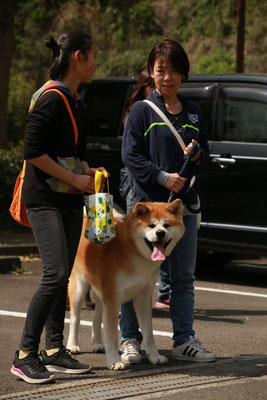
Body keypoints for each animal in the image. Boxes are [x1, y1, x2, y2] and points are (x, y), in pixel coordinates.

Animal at [66, 199, 185, 368]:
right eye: (151, 225)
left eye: (166, 225)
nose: (160, 233)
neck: (132, 251)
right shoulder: (112, 298)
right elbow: (111, 334)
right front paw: (114, 361)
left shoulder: (143, 298)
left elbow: (149, 333)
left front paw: (154, 356)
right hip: (79, 287)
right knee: (75, 319)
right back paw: (72, 345)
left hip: (100, 294)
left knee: (96, 319)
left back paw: (96, 343)